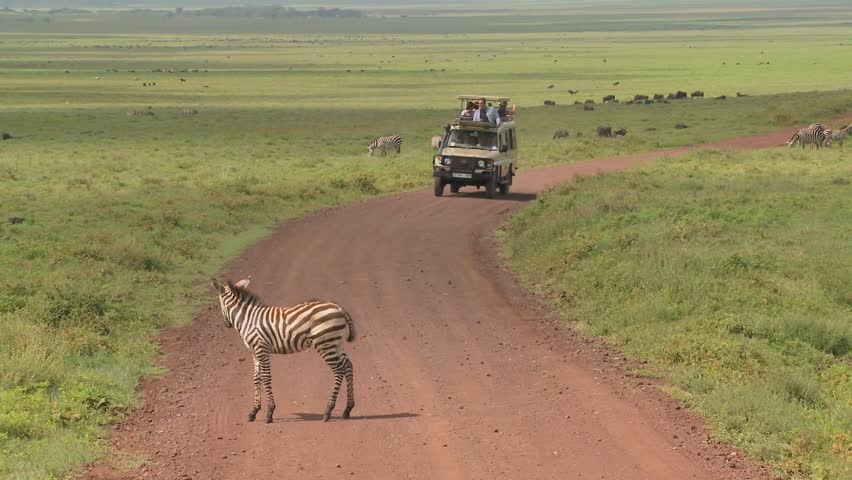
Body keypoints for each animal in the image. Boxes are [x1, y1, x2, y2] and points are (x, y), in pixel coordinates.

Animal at [211, 276, 356, 424]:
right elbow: (256, 378)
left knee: (339, 370)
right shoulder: (254, 352)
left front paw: (269, 413)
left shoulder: (262, 349)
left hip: (325, 343)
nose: (226, 324)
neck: (247, 319)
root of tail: (340, 308)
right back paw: (347, 409)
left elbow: (266, 377)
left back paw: (328, 411)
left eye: (219, 303)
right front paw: (254, 411)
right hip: (336, 343)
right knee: (348, 366)